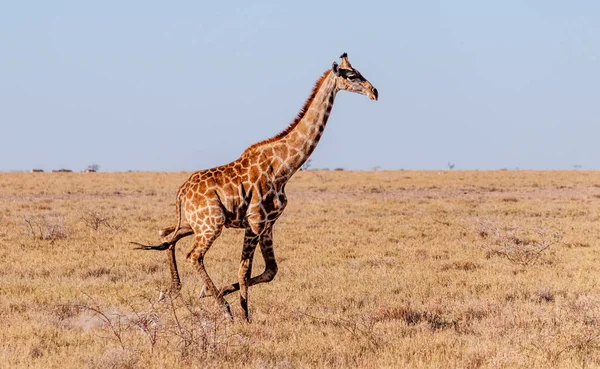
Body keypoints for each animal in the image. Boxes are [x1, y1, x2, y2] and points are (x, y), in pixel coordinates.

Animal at [134, 53, 378, 320]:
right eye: (352, 75)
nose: (374, 92)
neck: (283, 168)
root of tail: (181, 191)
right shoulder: (255, 222)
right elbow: (244, 271)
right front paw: (243, 316)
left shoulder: (268, 225)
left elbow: (270, 271)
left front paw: (216, 293)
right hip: (211, 225)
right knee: (193, 255)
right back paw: (223, 308)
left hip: (196, 223)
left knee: (169, 238)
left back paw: (173, 291)